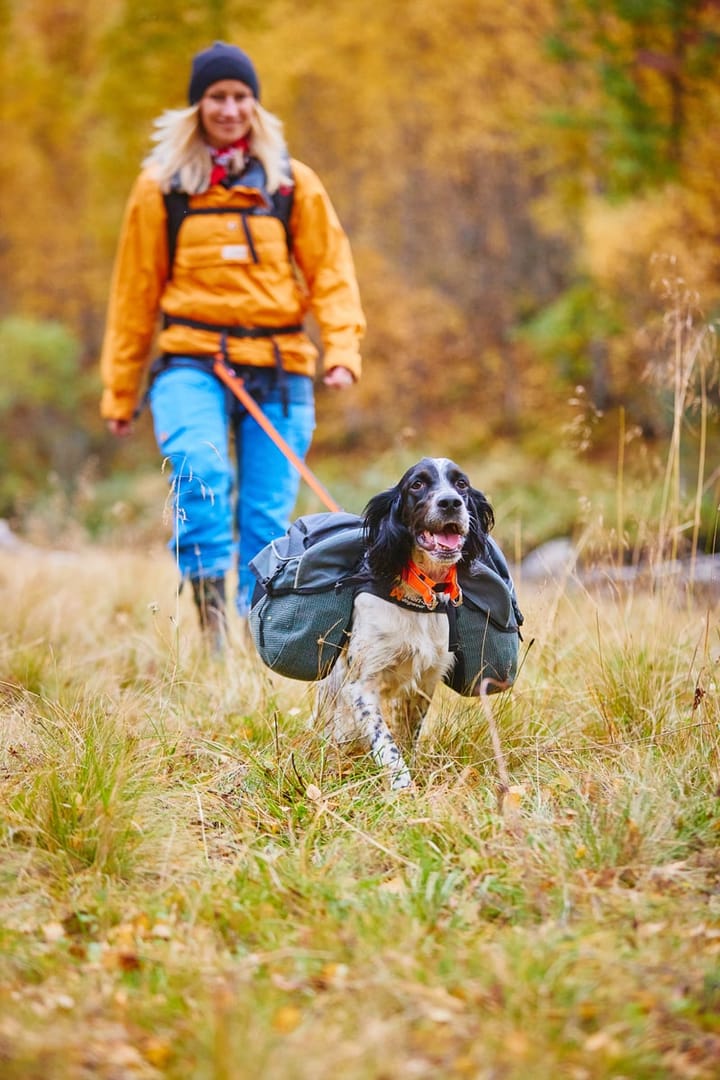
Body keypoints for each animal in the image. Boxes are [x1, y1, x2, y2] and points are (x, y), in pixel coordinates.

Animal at [317, 460, 498, 790]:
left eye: (461, 484)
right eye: (417, 484)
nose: (450, 502)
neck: (419, 594)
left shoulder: (424, 681)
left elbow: (407, 734)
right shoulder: (360, 685)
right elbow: (385, 742)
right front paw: (402, 785)